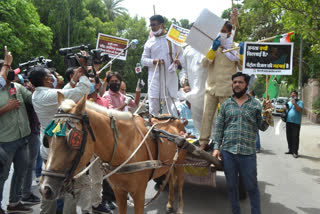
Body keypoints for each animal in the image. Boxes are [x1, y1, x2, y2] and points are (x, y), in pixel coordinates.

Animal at [39, 92, 188, 214]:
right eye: (47, 140)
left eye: (73, 139)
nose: (45, 189)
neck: (126, 149)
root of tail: (175, 119)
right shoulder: (119, 191)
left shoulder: (139, 193)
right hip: (170, 162)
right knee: (170, 178)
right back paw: (170, 204)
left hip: (181, 161)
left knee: (180, 182)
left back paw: (180, 207)